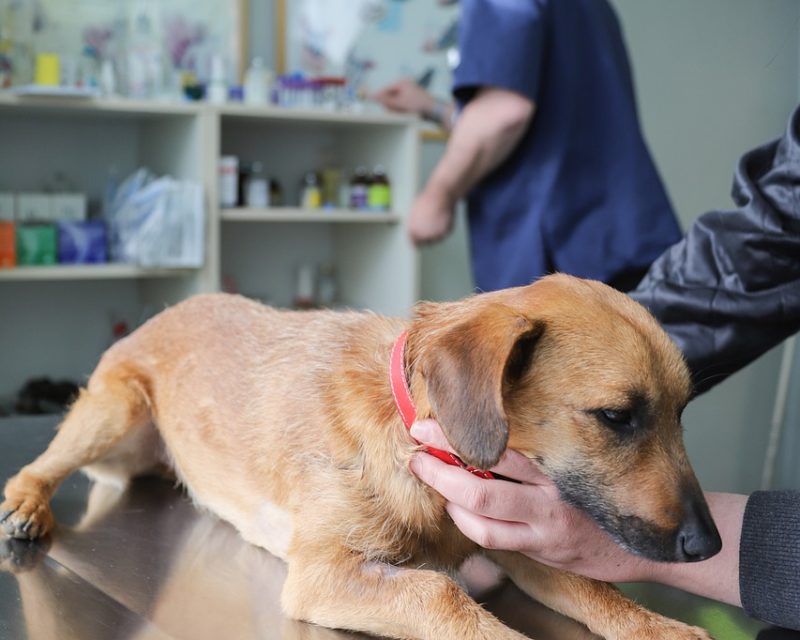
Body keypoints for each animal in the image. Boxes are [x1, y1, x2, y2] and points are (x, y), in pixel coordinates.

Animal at [3, 276, 720, 640]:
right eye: (616, 417)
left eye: (684, 410)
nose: (710, 547)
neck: (418, 436)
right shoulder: (322, 576)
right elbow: (443, 596)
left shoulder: (515, 535)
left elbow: (598, 592)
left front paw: (663, 629)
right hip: (114, 409)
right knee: (37, 467)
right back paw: (27, 506)